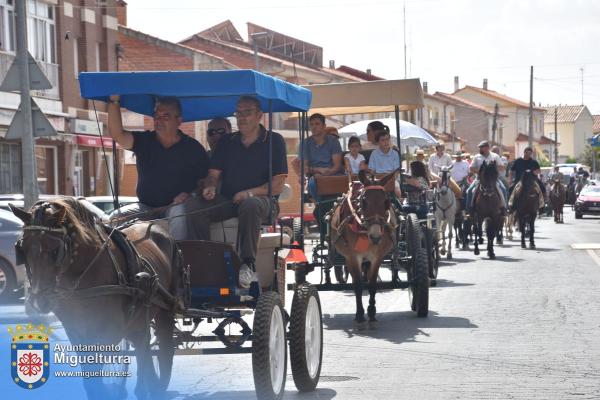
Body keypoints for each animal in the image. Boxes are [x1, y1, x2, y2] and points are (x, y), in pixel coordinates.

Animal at [10, 198, 179, 398]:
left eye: (56, 250)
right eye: (22, 249)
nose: (39, 301)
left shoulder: (111, 330)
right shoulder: (75, 330)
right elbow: (90, 378)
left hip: (165, 309)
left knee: (163, 343)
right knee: (142, 342)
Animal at [330, 170, 396, 330]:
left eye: (386, 202)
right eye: (364, 202)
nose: (376, 236)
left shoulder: (377, 257)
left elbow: (372, 285)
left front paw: (372, 315)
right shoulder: (353, 257)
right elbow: (358, 285)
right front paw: (360, 317)